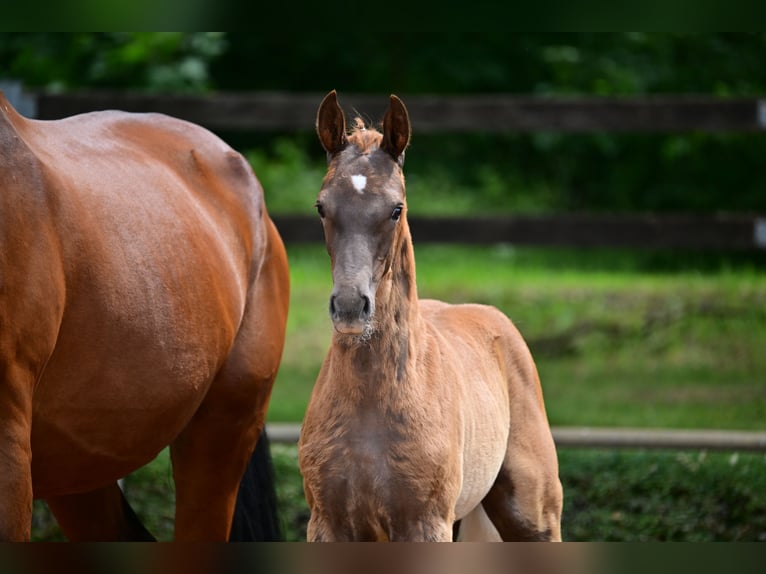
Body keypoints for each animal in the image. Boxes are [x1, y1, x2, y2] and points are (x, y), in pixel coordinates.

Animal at [300, 91, 564, 544]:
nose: (351, 306)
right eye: (321, 207)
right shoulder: (328, 524)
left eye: (395, 209)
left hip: (533, 517)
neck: (372, 405)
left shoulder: (424, 524)